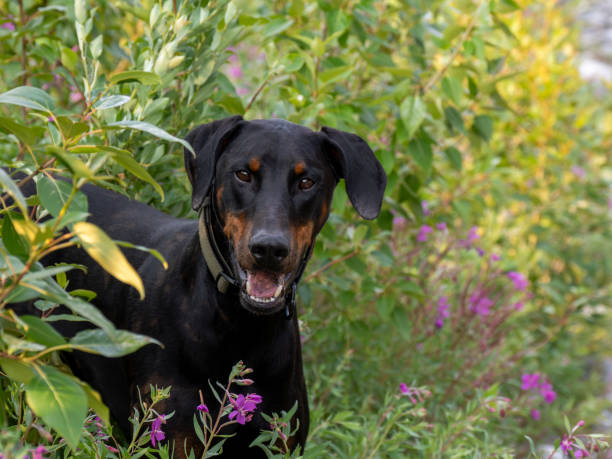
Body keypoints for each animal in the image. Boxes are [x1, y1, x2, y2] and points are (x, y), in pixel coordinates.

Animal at [19, 117, 384, 456]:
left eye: (307, 182)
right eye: (243, 174)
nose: (269, 249)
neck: (241, 326)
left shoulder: (280, 439)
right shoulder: (172, 438)